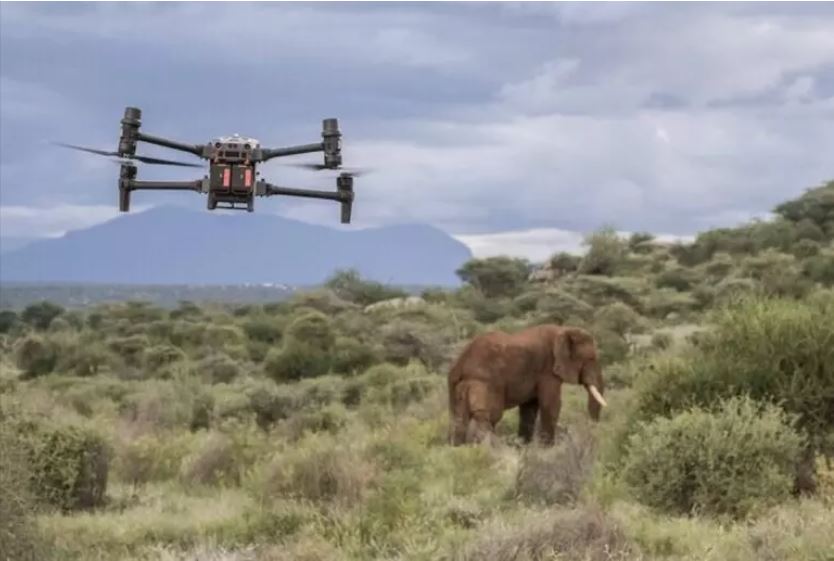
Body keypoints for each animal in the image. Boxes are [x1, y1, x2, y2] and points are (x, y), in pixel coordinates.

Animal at [447, 324, 607, 446]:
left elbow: (529, 409)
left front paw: (523, 448)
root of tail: (460, 363)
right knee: (488, 416)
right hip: (484, 382)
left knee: (459, 419)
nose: (593, 427)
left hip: (456, 386)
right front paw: (548, 450)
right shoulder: (547, 371)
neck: (563, 330)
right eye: (590, 358)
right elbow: (551, 405)